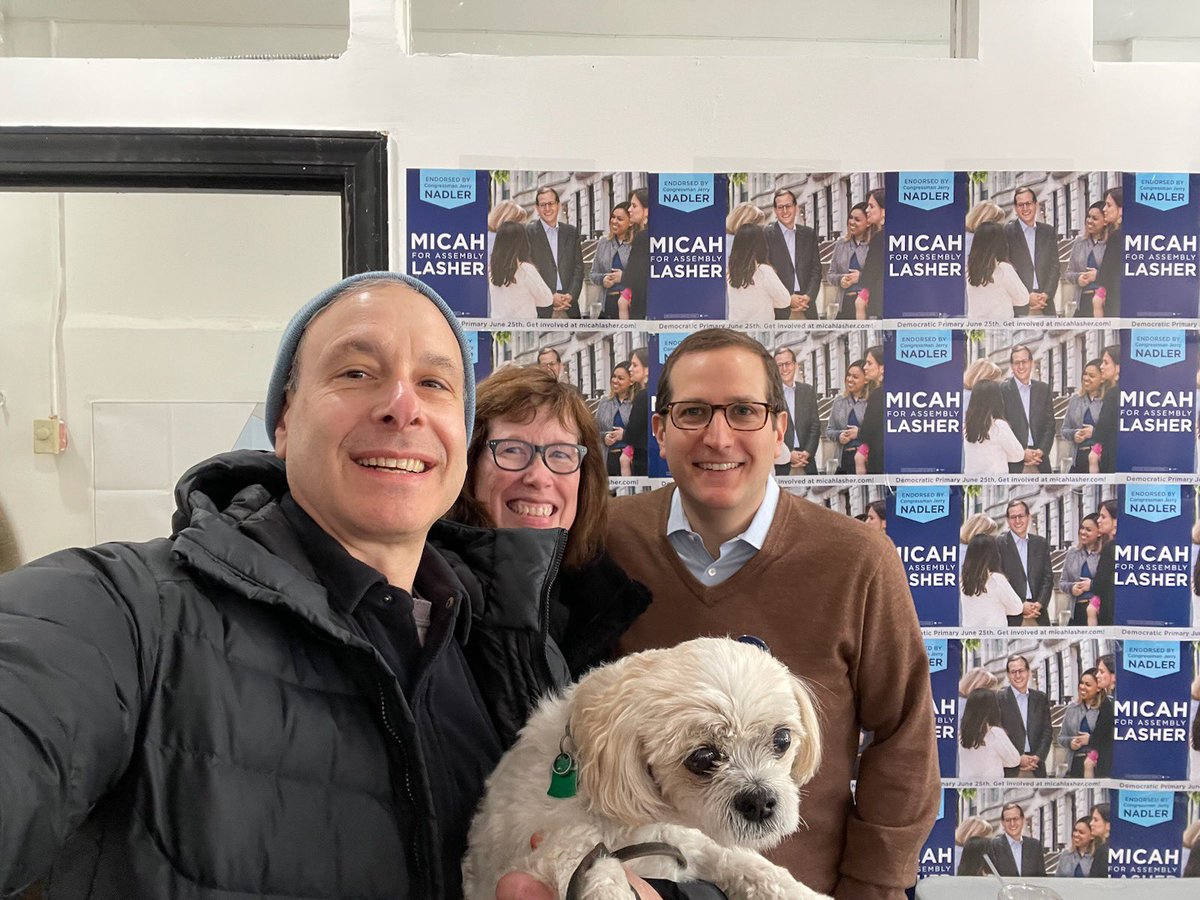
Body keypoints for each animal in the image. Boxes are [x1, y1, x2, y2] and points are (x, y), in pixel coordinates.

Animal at [463, 638, 830, 900]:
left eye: (782, 739)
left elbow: (747, 864)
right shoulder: (526, 859)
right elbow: (578, 850)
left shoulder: (686, 842)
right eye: (702, 758)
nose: (759, 801)